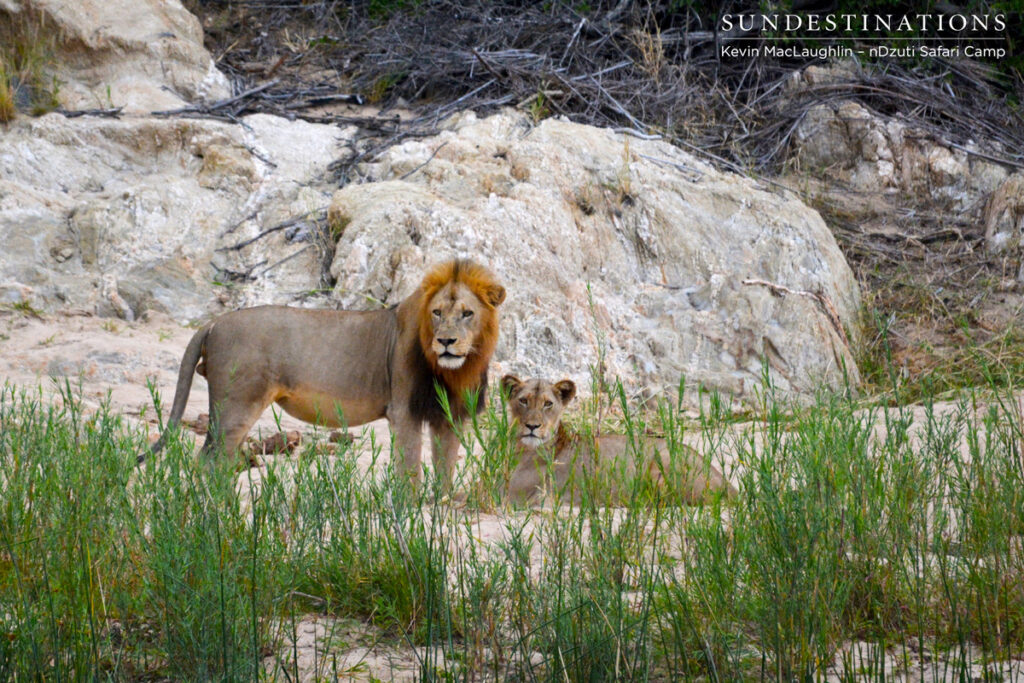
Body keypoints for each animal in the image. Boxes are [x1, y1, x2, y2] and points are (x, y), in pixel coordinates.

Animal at [144, 259, 506, 488]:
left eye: (467, 314)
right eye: (437, 313)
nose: (445, 341)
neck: (454, 372)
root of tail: (214, 321)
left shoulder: (451, 417)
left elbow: (445, 468)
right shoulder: (404, 412)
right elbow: (409, 470)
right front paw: (411, 514)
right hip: (235, 407)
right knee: (209, 462)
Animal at [501, 375, 737, 506]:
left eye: (548, 404)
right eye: (523, 401)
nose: (532, 426)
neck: (522, 448)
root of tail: (728, 484)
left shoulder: (514, 495)